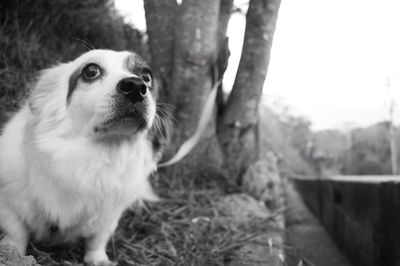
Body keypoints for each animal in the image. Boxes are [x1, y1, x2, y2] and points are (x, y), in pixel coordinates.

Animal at [0, 48, 170, 264]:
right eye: (91, 71)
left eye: (147, 76)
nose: (136, 86)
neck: (97, 157)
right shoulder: (8, 203)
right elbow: (17, 231)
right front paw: (11, 251)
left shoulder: (109, 215)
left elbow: (97, 239)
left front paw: (98, 259)